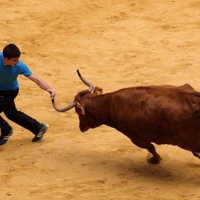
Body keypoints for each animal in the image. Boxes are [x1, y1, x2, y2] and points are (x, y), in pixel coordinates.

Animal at [51, 70, 200, 164]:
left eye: (77, 112)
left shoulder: (135, 137)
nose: (81, 127)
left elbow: (151, 148)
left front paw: (155, 160)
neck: (110, 104)